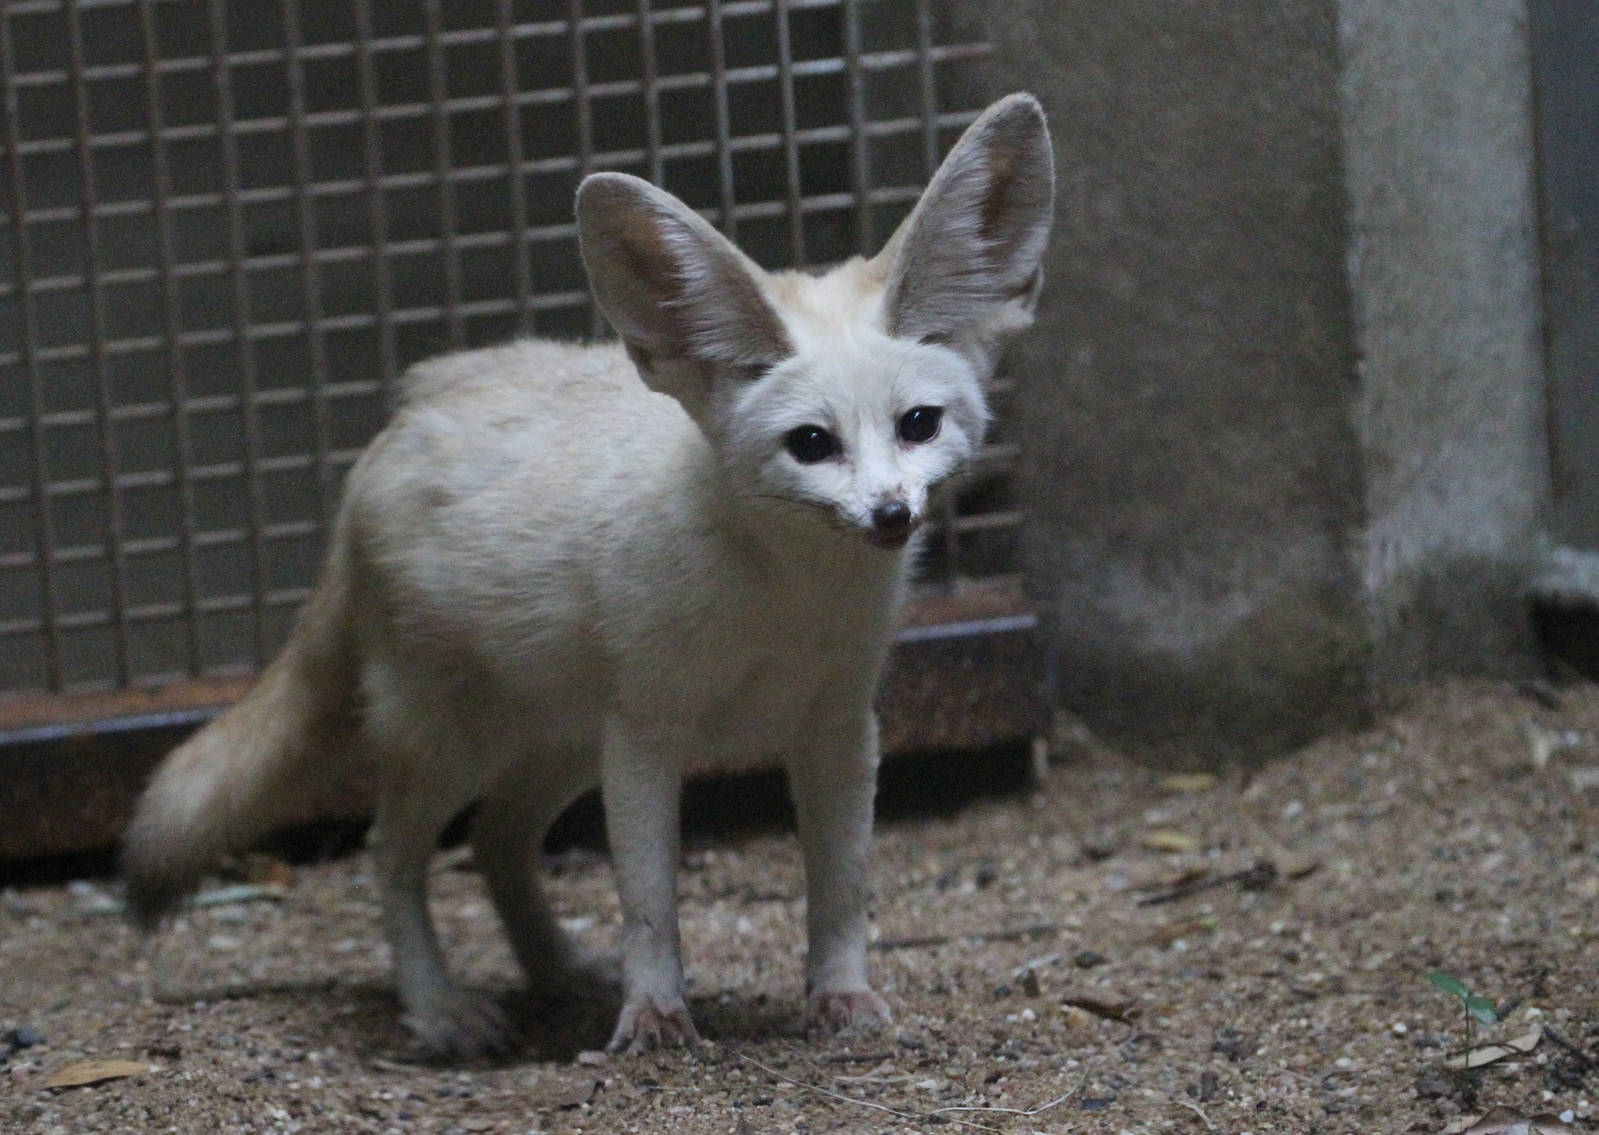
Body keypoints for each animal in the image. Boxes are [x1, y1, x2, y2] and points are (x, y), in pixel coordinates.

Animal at [120, 93, 1055, 1057]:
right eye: (810, 443)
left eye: (918, 424)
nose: (890, 515)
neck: (781, 606)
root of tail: (402, 419)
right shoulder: (647, 733)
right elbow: (649, 903)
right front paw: (655, 1016)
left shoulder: (837, 724)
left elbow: (841, 887)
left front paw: (841, 995)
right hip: (453, 742)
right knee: (393, 853)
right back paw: (438, 1006)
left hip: (559, 744)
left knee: (494, 842)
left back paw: (558, 971)